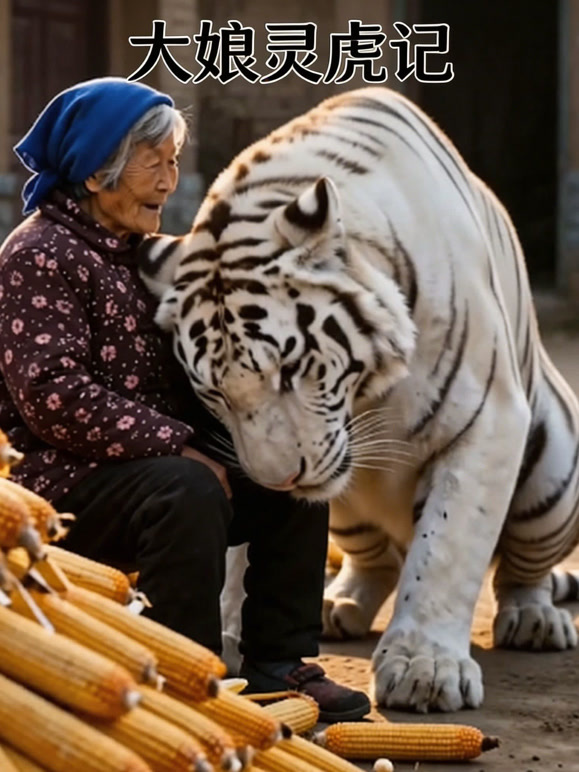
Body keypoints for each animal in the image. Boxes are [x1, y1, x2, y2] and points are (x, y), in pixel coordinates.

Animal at [138, 86, 579, 713]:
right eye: (214, 391)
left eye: (289, 369)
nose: (279, 481)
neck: (367, 397)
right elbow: (240, 555)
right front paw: (227, 637)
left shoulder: (489, 418)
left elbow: (446, 549)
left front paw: (424, 668)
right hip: (347, 511)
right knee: (380, 561)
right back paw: (337, 606)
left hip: (552, 477)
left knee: (520, 569)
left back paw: (535, 619)